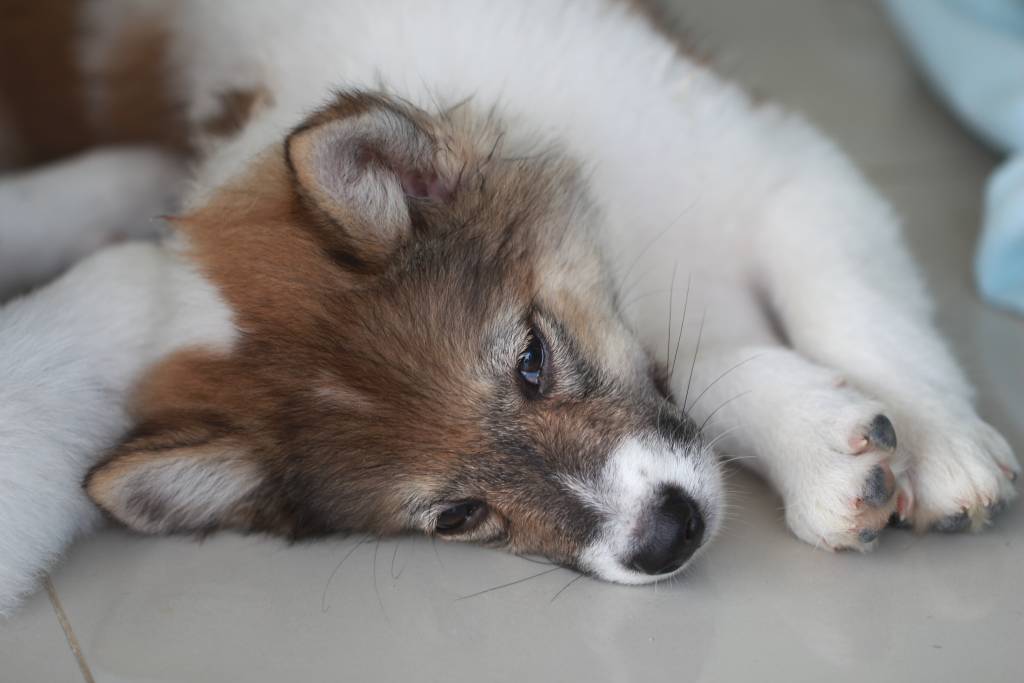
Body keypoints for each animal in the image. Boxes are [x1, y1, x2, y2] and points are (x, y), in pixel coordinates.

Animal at [0, 0, 1018, 616]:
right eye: (458, 515)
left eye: (531, 358)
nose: (666, 539)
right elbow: (704, 363)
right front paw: (818, 446)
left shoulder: (779, 169)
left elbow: (856, 306)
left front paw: (941, 445)